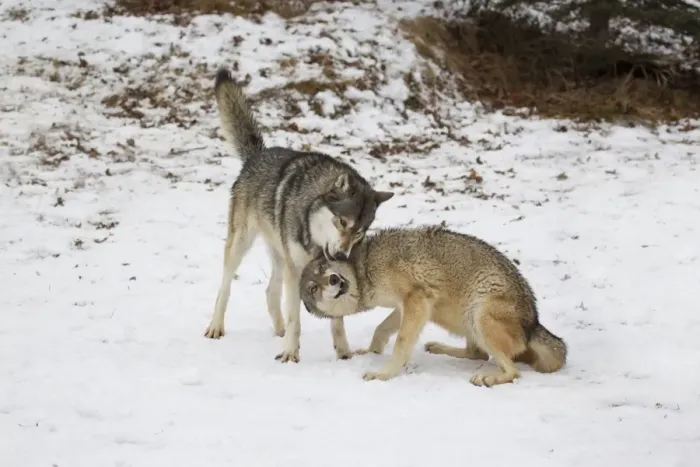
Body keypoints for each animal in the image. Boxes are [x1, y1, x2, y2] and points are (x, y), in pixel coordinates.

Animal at [204, 68, 394, 363]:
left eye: (360, 231)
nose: (342, 256)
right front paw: (290, 353)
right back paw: (216, 327)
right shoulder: (297, 272)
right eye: (343, 222)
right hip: (241, 245)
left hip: (279, 256)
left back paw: (279, 330)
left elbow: (336, 319)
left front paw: (344, 353)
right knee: (225, 288)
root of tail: (257, 155)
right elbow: (297, 318)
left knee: (270, 291)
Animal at [299, 225, 567, 386]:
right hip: (458, 318)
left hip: (477, 314)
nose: (334, 280)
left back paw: (488, 378)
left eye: (323, 269)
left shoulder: (416, 299)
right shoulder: (408, 305)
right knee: (478, 353)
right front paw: (370, 352)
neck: (363, 270)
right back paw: (438, 347)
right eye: (313, 288)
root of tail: (534, 323)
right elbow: (381, 329)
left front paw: (384, 373)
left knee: (512, 370)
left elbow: (400, 342)